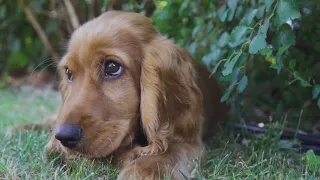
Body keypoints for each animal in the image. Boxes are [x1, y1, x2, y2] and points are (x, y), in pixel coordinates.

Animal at [10, 10, 228, 179]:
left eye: (112, 67)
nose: (65, 136)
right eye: (69, 73)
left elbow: (170, 152)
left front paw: (142, 169)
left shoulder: (189, 141)